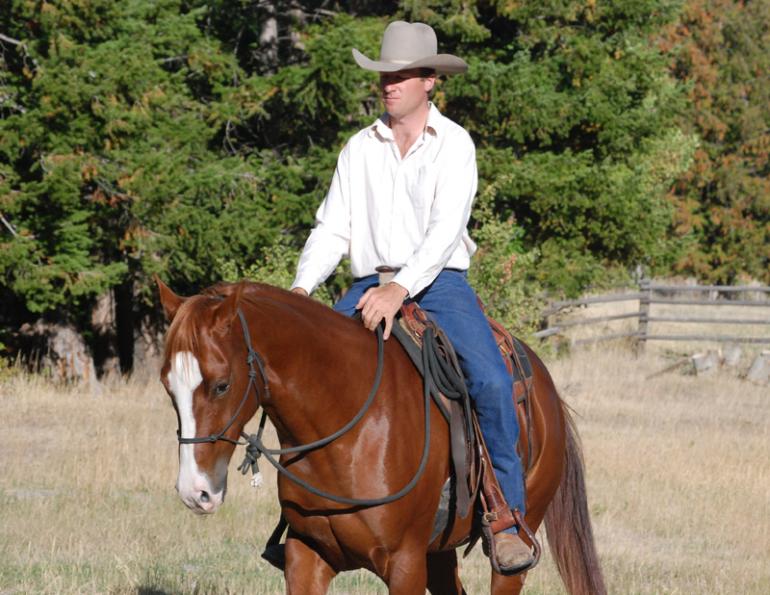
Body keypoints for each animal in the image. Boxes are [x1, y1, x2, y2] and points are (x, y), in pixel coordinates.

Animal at [157, 278, 605, 594]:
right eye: (167, 385)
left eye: (221, 385)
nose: (195, 492)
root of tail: (548, 391)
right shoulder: (306, 556)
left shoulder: (404, 564)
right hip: (439, 554)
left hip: (513, 545)